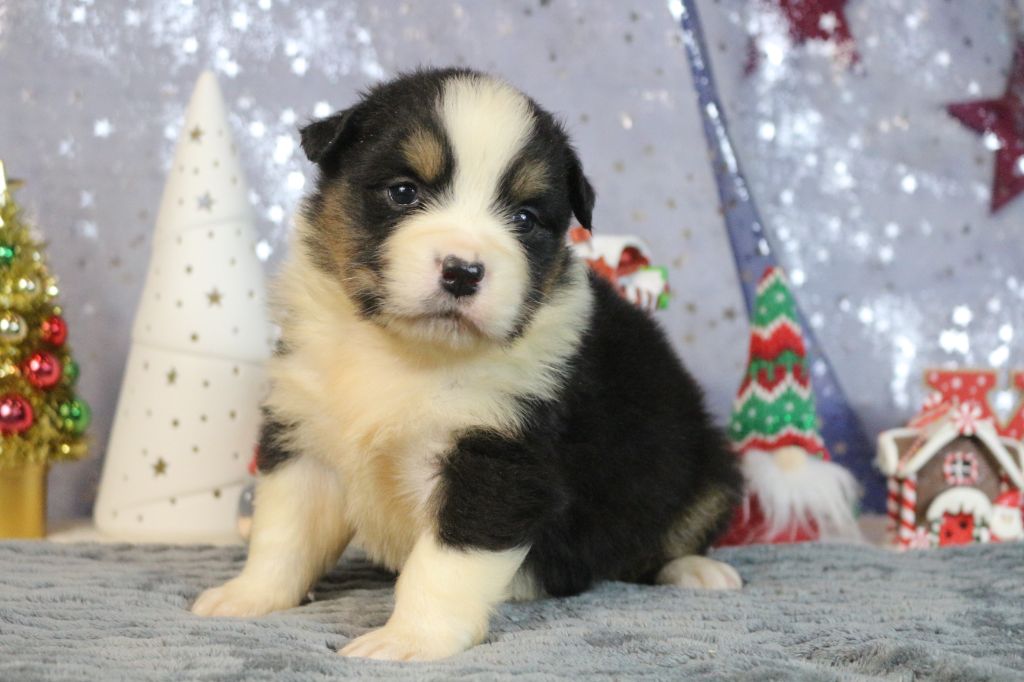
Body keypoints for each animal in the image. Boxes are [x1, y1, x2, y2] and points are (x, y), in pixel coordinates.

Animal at [190, 67, 745, 659]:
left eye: (525, 218)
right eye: (404, 191)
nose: (462, 271)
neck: (403, 352)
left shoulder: (496, 457)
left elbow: (443, 565)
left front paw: (409, 639)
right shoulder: (306, 434)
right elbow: (283, 531)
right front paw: (249, 596)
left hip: (710, 465)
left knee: (673, 536)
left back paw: (698, 571)